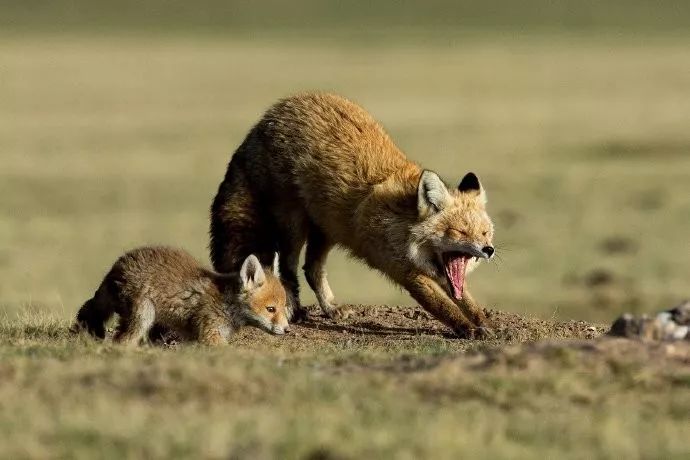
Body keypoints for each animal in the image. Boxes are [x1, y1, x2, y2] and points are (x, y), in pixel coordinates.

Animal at [210, 92, 494, 338]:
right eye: (460, 232)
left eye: (485, 233)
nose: (489, 250)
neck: (403, 223)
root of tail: (269, 116)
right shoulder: (405, 271)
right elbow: (442, 306)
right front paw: (469, 329)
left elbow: (466, 299)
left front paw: (482, 320)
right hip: (294, 224)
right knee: (289, 269)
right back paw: (295, 309)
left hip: (327, 227)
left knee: (311, 269)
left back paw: (331, 308)